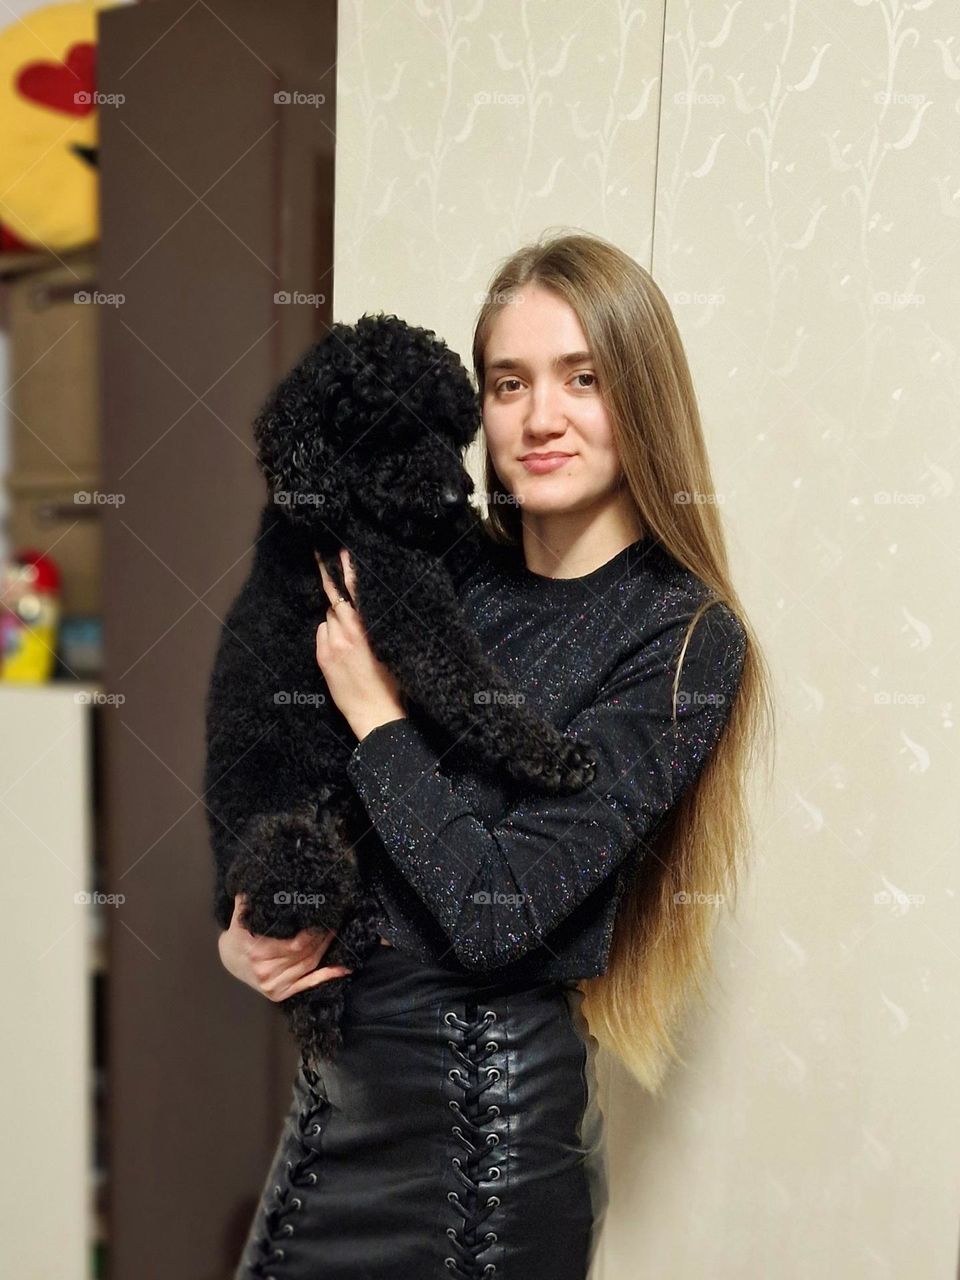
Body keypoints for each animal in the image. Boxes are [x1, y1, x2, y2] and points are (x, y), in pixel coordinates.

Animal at [202, 309, 593, 1070]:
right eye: (388, 425)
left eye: (451, 426)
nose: (453, 494)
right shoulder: (402, 594)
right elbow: (466, 680)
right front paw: (552, 756)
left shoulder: (449, 552)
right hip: (286, 852)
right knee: (290, 922)